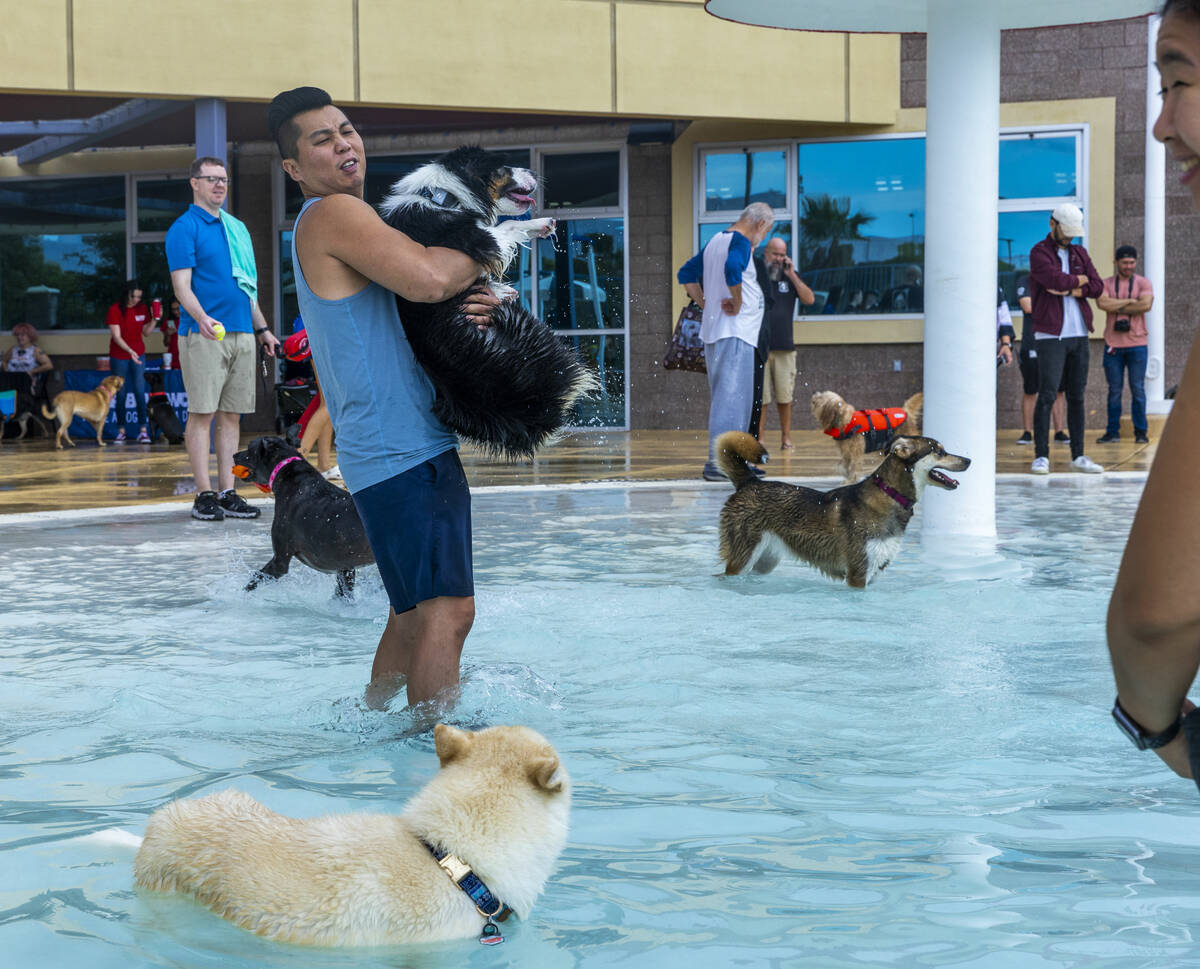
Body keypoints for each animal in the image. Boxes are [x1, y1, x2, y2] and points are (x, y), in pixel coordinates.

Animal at [379, 144, 595, 462]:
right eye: (503, 168)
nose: (534, 172)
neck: (445, 197)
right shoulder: (476, 240)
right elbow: (507, 225)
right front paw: (541, 223)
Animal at [715, 434, 969, 590]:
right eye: (939, 452)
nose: (969, 460)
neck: (889, 493)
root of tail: (749, 482)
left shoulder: (873, 572)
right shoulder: (858, 574)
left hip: (764, 561)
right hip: (742, 558)